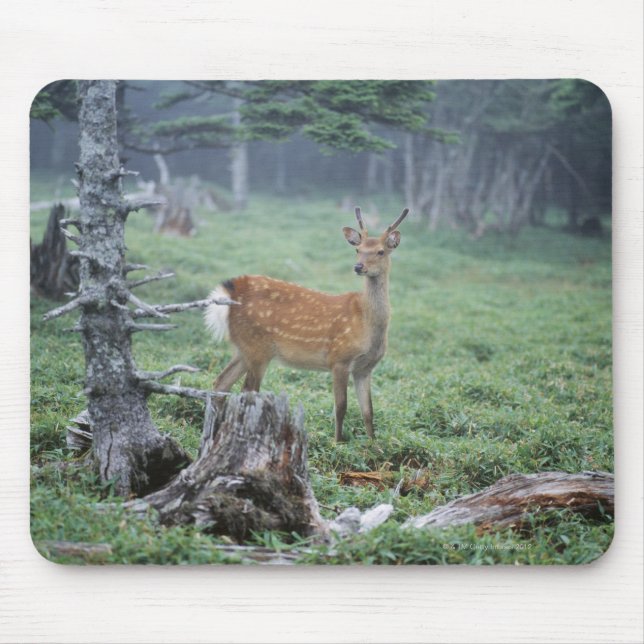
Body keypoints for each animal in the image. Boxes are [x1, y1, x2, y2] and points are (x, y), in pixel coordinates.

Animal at [204, 206, 409, 442]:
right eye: (358, 250)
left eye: (381, 251)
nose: (359, 267)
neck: (368, 325)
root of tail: (228, 293)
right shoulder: (339, 358)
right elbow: (341, 407)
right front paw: (337, 442)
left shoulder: (365, 368)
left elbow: (368, 411)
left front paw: (373, 445)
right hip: (257, 347)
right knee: (247, 391)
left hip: (244, 348)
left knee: (221, 383)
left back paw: (211, 435)